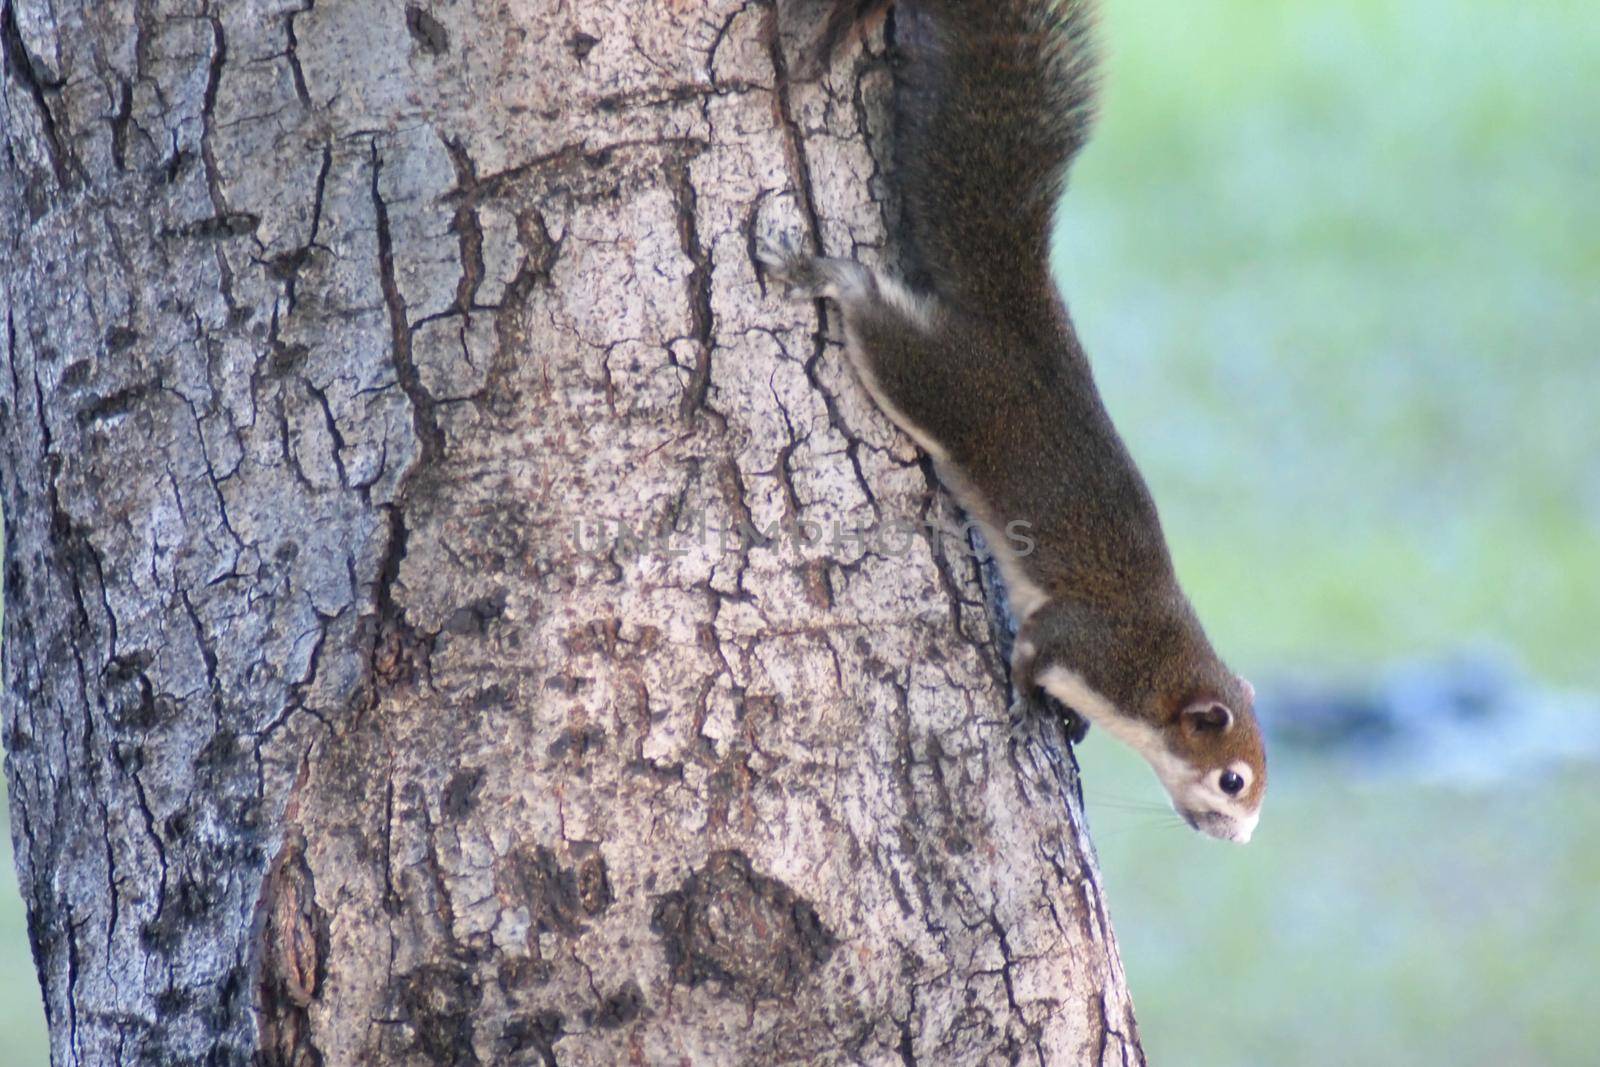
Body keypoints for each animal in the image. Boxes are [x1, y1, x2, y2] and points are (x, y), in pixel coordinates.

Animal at [755, 0, 1267, 844]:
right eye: (1232, 778)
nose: (1236, 837)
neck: (1161, 667)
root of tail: (1016, 319)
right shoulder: (1086, 643)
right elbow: (1032, 652)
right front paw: (1031, 706)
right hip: (944, 384)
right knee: (880, 324)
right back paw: (832, 276)